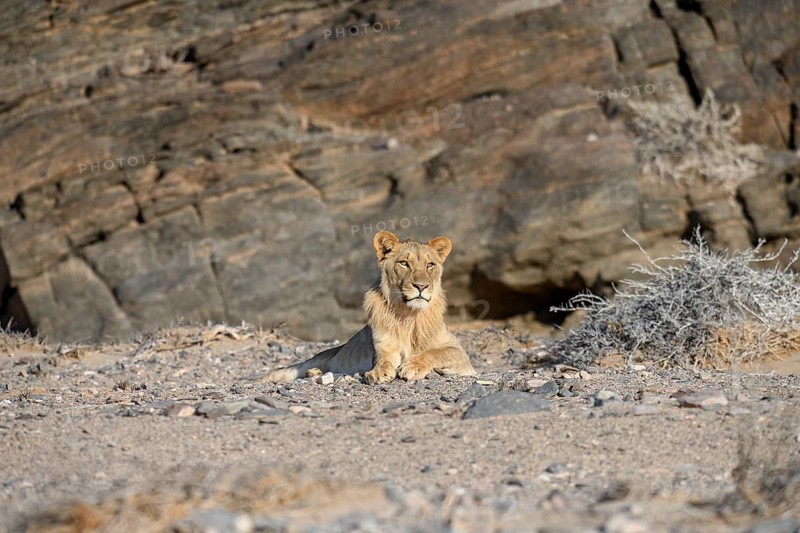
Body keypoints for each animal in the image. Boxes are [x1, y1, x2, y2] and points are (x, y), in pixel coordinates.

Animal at [267, 230, 477, 384]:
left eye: (430, 265)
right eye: (404, 263)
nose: (421, 286)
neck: (407, 314)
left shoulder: (460, 353)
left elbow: (436, 352)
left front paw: (413, 366)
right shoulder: (384, 346)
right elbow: (383, 360)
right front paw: (378, 373)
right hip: (318, 358)